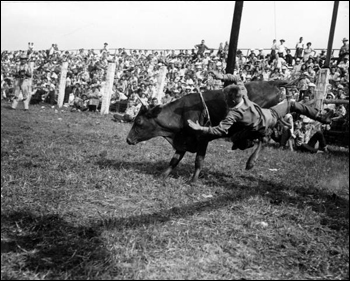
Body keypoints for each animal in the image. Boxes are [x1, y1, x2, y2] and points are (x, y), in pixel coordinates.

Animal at [127, 80, 292, 183]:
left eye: (139, 121)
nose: (128, 139)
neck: (181, 114)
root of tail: (272, 83)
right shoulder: (184, 139)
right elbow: (175, 159)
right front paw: (162, 175)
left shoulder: (202, 139)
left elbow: (198, 160)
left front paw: (193, 180)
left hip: (259, 124)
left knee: (265, 137)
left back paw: (250, 162)